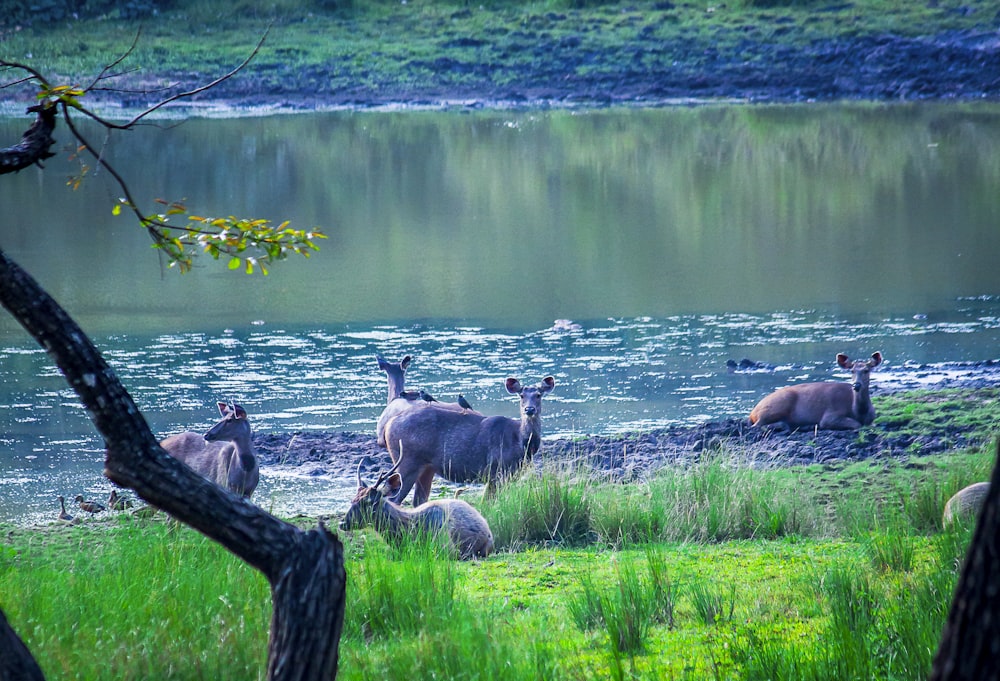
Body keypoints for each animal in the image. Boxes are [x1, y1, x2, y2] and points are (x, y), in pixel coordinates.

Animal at [382, 374, 556, 508]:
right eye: (521, 396)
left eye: (538, 395)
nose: (529, 409)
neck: (521, 443)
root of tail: (388, 425)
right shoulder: (496, 470)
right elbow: (489, 503)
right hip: (407, 461)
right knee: (394, 499)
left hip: (426, 467)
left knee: (418, 501)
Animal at [752, 350, 884, 430]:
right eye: (852, 371)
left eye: (866, 370)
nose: (856, 385)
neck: (859, 411)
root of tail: (753, 412)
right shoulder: (830, 416)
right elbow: (856, 424)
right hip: (777, 405)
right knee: (757, 425)